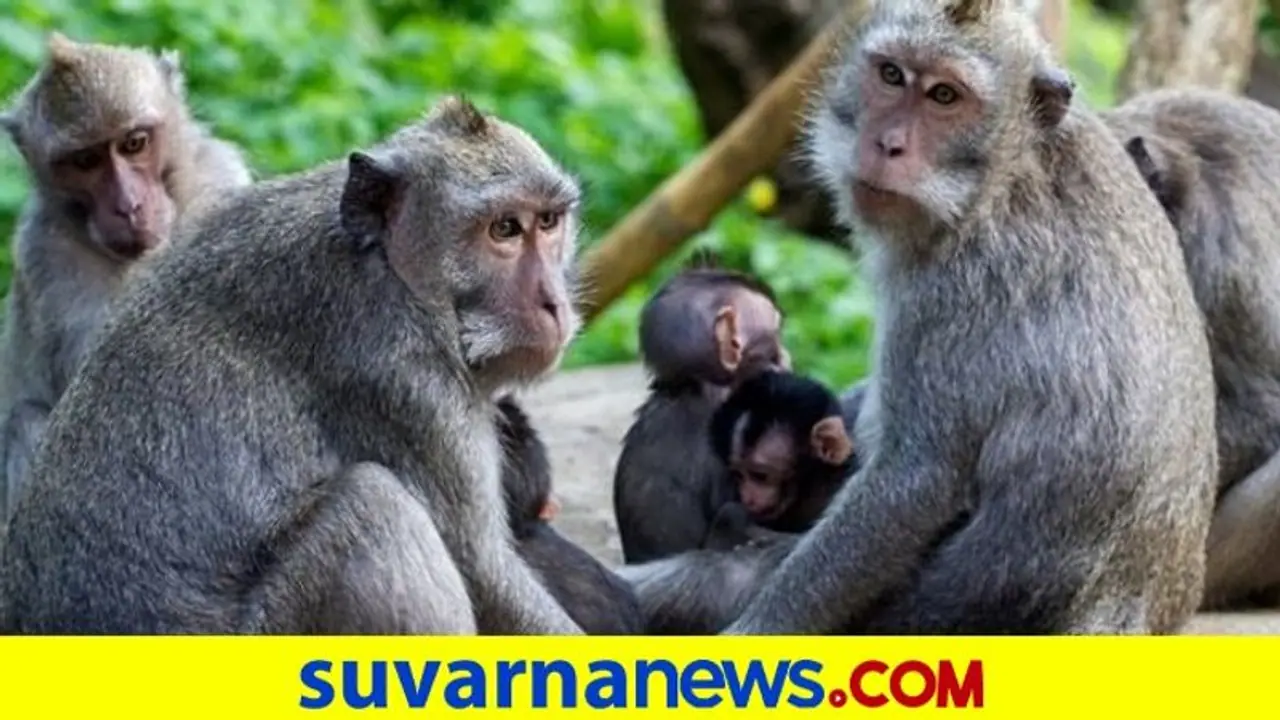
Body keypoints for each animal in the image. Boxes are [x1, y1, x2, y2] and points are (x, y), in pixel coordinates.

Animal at [0, 33, 253, 524]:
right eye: (85, 161)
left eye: (134, 143)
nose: (128, 206)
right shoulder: (45, 254)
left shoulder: (220, 178)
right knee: (25, 421)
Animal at [0, 96, 586, 635]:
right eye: (504, 230)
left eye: (549, 223)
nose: (552, 304)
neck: (388, 265)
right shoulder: (400, 376)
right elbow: (483, 572)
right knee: (375, 506)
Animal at [715, 0, 1217, 635]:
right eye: (892, 75)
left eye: (945, 96)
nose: (887, 144)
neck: (1001, 177)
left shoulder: (954, 292)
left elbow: (914, 480)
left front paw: (754, 630)